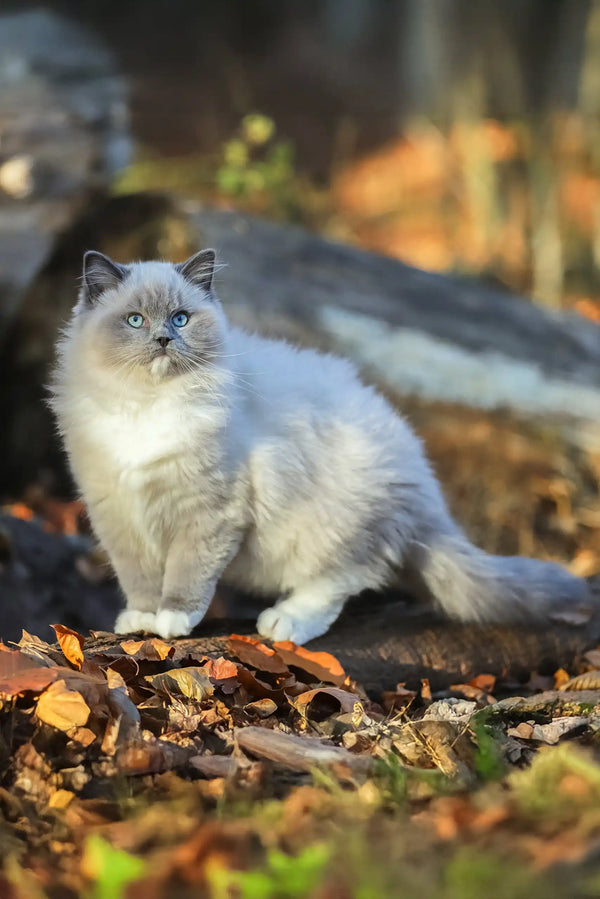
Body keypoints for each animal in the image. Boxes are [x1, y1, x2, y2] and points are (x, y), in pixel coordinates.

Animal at [49, 250, 588, 644]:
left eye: (181, 319)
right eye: (135, 321)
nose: (163, 339)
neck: (145, 407)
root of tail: (423, 489)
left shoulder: (210, 512)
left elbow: (187, 577)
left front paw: (173, 622)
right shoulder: (118, 513)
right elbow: (138, 578)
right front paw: (140, 621)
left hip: (333, 526)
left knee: (339, 583)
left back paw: (282, 623)